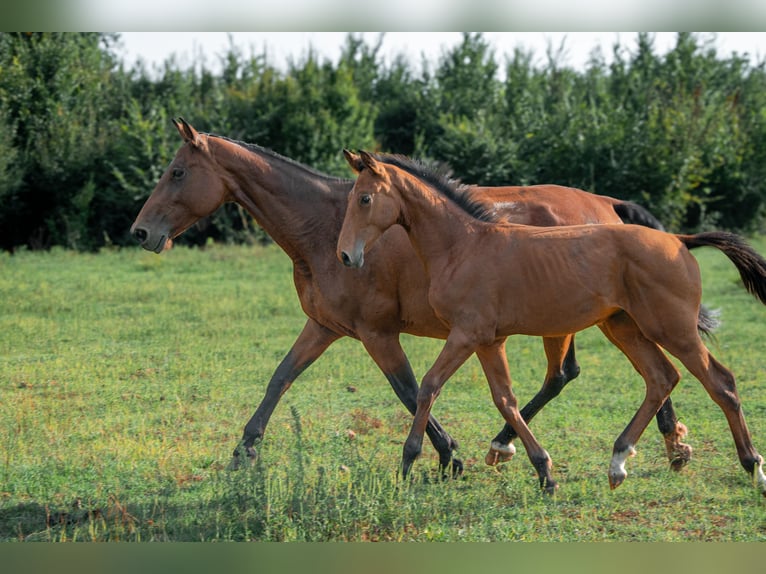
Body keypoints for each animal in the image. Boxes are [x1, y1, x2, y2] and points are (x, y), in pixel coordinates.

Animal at [130, 118, 696, 476]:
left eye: (176, 172)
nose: (140, 231)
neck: (324, 225)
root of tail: (604, 203)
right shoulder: (324, 327)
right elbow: (280, 379)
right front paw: (243, 452)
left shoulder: (377, 333)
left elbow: (408, 390)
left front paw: (447, 456)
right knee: (615, 372)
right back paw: (668, 445)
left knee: (588, 374)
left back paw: (514, 447)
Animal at [340, 151, 766, 498]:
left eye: (365, 199)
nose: (346, 255)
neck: (463, 246)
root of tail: (679, 239)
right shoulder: (489, 341)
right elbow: (506, 400)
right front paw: (541, 471)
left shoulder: (466, 335)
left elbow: (428, 387)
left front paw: (407, 462)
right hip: (625, 327)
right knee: (662, 378)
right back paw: (618, 463)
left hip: (672, 329)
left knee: (721, 382)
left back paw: (753, 467)